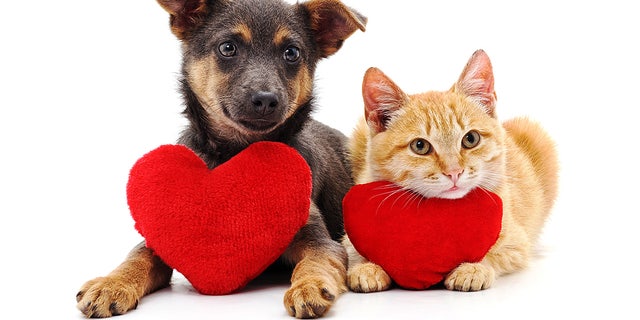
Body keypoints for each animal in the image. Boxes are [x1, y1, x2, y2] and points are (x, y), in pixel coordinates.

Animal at [75, 0, 364, 318]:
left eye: (292, 53)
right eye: (227, 48)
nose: (266, 100)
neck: (238, 151)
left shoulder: (321, 241)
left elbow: (316, 262)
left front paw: (309, 286)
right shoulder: (162, 234)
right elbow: (136, 256)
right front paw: (111, 284)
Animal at [342, 49, 556, 292]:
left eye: (471, 139)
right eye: (420, 146)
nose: (454, 172)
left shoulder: (517, 244)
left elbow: (494, 252)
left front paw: (473, 269)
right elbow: (352, 251)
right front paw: (367, 267)